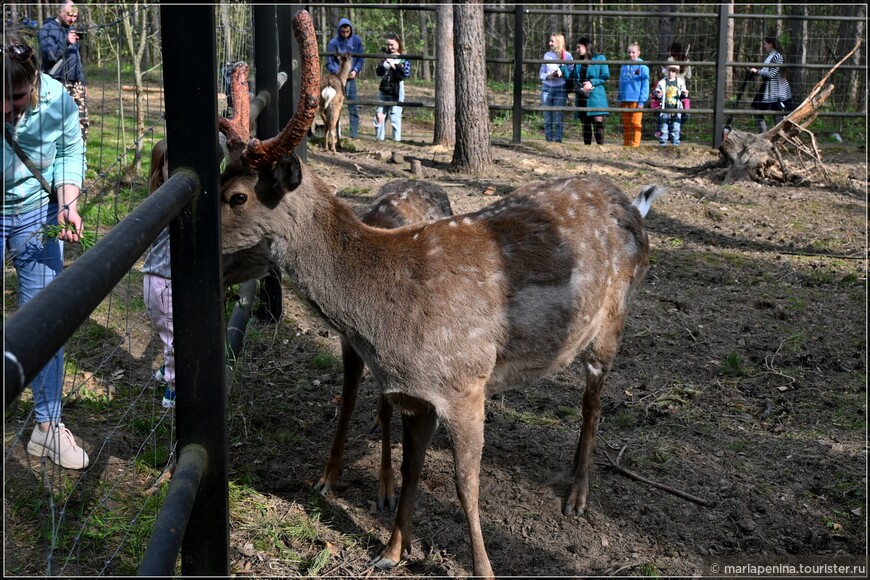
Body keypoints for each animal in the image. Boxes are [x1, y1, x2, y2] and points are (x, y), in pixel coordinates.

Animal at [220, 10, 668, 580]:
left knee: (594, 401)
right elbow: (412, 470)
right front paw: (391, 550)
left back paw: (577, 495)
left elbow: (465, 486)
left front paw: (483, 568)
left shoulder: (465, 382)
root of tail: (635, 207)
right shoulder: (417, 395)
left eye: (238, 196)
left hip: (613, 320)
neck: (385, 317)